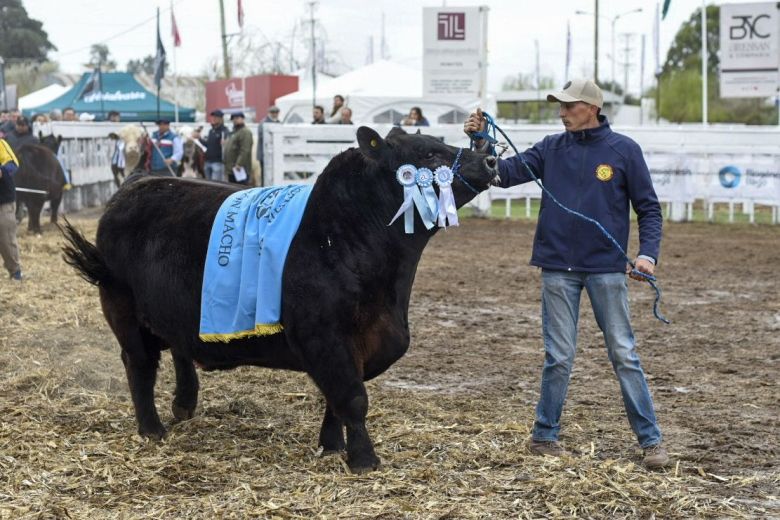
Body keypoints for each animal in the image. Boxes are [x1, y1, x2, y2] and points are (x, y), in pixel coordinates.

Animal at [61, 126, 500, 472]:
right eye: (427, 153)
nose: (490, 159)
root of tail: (134, 184)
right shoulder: (324, 335)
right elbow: (352, 398)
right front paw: (364, 459)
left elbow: (335, 399)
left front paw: (331, 446)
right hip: (123, 309)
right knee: (140, 365)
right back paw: (152, 429)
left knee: (180, 350)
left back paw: (184, 405)